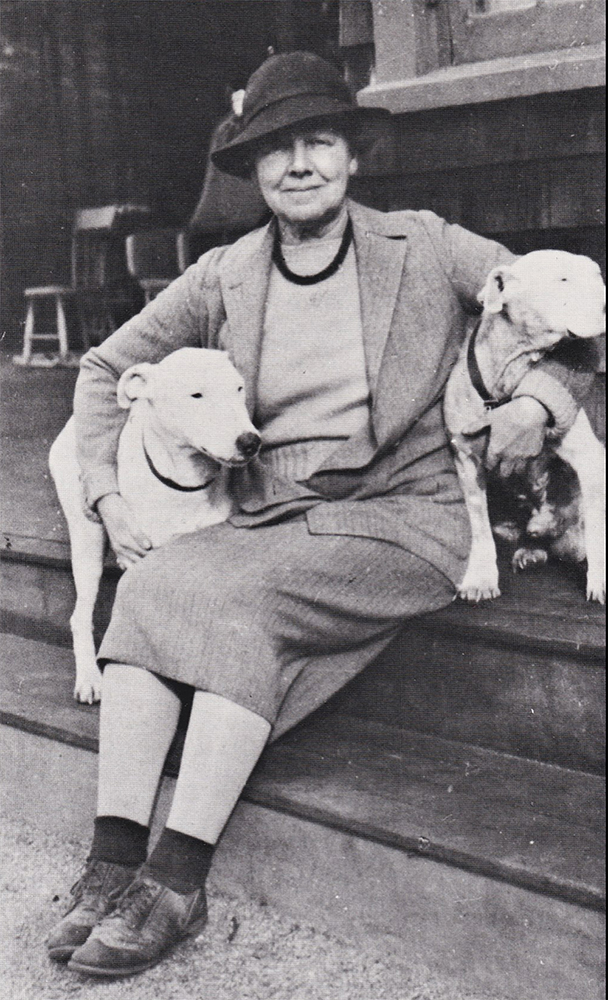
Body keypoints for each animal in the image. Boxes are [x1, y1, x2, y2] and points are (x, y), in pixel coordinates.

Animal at [50, 348, 262, 708]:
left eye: (238, 388)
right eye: (196, 395)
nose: (251, 441)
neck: (186, 484)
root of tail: (74, 420)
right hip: (87, 536)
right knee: (80, 615)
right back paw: (89, 678)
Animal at [444, 254, 604, 604]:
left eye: (597, 274)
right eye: (563, 279)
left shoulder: (591, 460)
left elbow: (600, 530)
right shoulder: (466, 459)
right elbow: (478, 524)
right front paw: (480, 577)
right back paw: (530, 551)